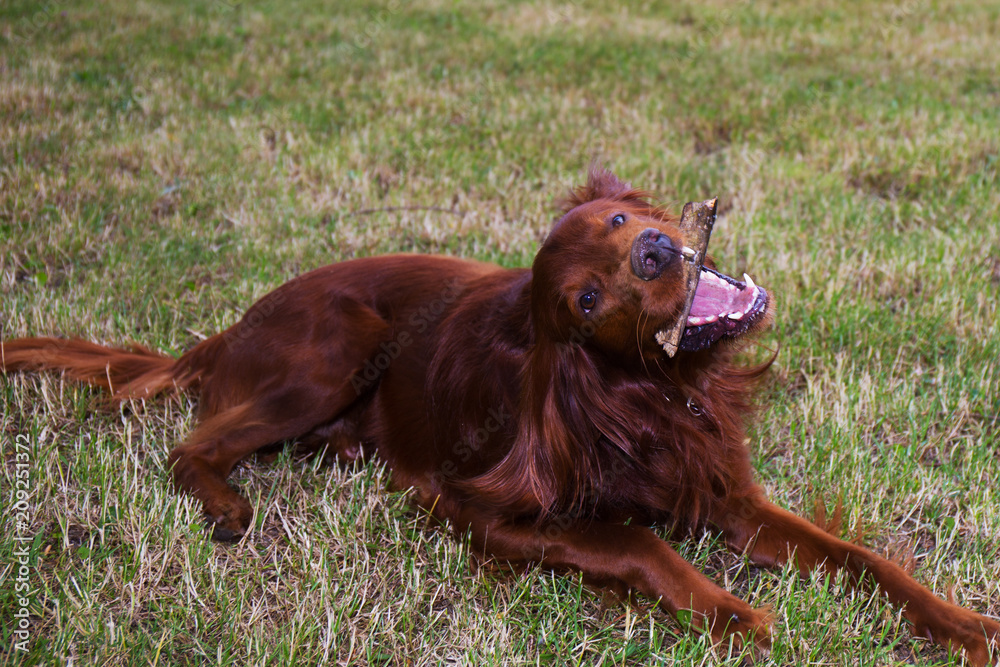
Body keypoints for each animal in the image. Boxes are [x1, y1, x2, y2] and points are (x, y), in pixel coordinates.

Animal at [3, 166, 996, 664]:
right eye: (588, 301)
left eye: (620, 217)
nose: (656, 247)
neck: (647, 397)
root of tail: (232, 327)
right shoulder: (474, 505)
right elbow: (638, 542)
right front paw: (730, 611)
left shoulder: (728, 495)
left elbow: (860, 557)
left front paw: (961, 623)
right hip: (337, 347)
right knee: (189, 442)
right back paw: (225, 503)